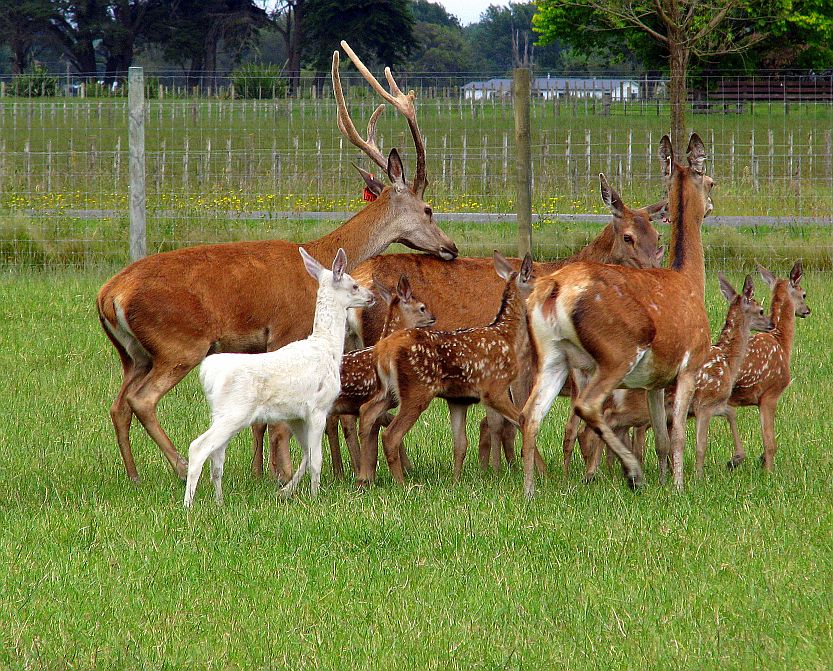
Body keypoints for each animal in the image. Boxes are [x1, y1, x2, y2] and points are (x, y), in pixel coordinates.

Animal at [187, 249, 376, 506]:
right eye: (354, 285)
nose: (371, 296)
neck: (327, 349)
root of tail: (208, 373)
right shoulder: (318, 407)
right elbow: (316, 459)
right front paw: (315, 496)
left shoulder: (295, 415)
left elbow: (307, 455)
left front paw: (286, 490)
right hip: (235, 410)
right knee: (198, 447)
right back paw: (188, 504)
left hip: (220, 413)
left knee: (217, 459)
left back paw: (219, 501)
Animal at [358, 252, 532, 484]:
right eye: (534, 277)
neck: (507, 335)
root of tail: (383, 349)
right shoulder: (494, 389)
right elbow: (522, 421)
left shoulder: (459, 400)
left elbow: (461, 443)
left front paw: (457, 481)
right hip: (416, 392)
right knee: (390, 434)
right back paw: (401, 483)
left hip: (388, 391)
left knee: (367, 413)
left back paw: (363, 478)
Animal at [516, 134, 712, 496]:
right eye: (710, 181)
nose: (711, 206)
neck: (690, 281)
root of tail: (553, 289)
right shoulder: (691, 363)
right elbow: (678, 434)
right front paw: (678, 487)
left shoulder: (654, 381)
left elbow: (661, 439)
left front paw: (664, 481)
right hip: (616, 351)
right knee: (586, 406)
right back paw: (632, 472)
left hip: (553, 355)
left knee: (530, 413)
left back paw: (530, 491)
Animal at [724, 260, 808, 470]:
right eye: (804, 294)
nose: (807, 310)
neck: (781, 341)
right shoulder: (770, 394)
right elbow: (770, 442)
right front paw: (768, 471)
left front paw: (761, 462)